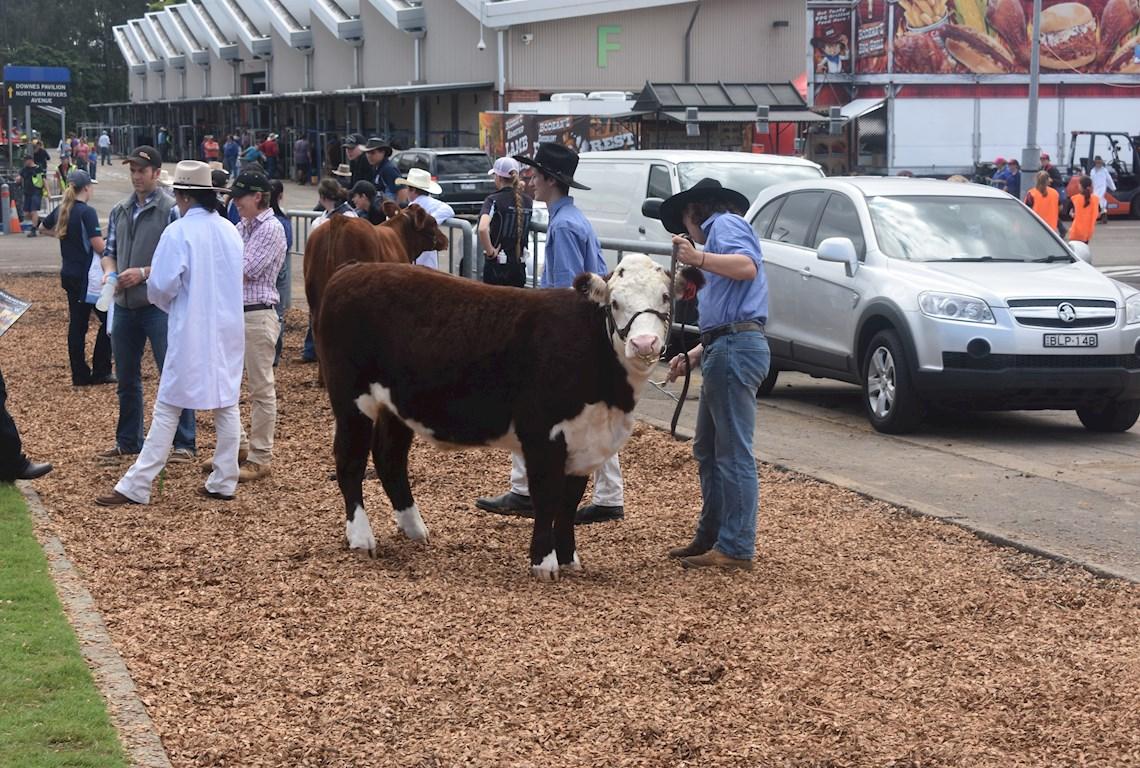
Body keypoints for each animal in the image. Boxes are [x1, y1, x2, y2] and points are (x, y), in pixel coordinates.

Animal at [316, 254, 697, 576]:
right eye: (615, 303)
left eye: (665, 297)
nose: (645, 344)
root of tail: (353, 270)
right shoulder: (542, 433)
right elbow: (547, 496)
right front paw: (544, 563)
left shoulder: (584, 438)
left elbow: (569, 502)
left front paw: (569, 558)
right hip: (351, 399)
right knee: (350, 461)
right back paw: (361, 538)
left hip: (397, 406)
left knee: (389, 458)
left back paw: (414, 529)